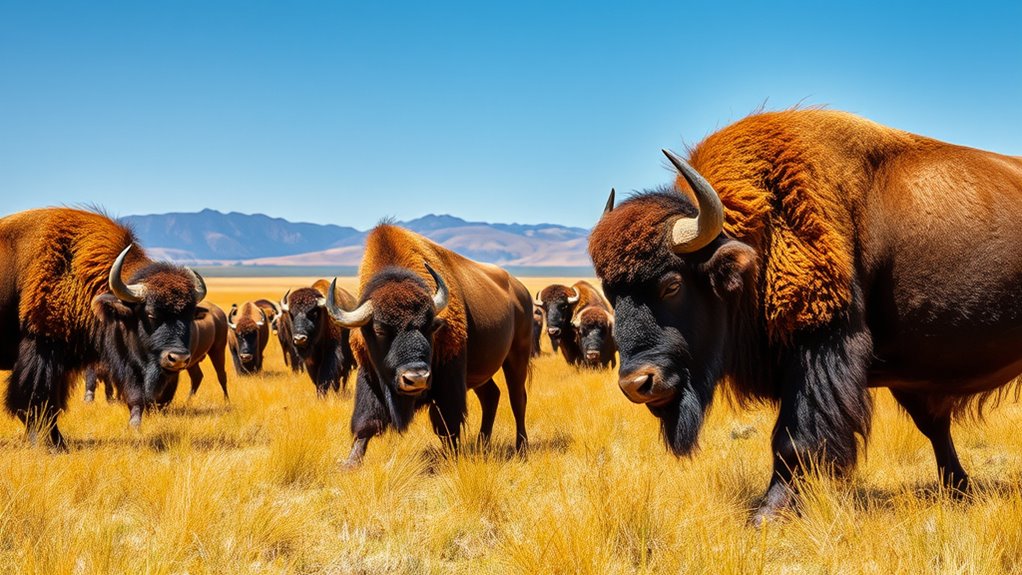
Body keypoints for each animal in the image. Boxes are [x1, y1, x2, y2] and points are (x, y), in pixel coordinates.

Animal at [0, 208, 208, 447]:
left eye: (190, 316)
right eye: (150, 314)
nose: (178, 358)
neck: (75, 272)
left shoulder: (61, 366)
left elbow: (52, 405)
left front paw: (59, 443)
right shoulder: (41, 348)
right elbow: (35, 402)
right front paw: (49, 445)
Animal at [324, 224, 533, 465]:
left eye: (429, 326)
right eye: (379, 329)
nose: (416, 378)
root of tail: (521, 291)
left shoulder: (449, 379)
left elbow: (447, 423)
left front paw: (451, 456)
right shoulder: (369, 374)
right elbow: (365, 422)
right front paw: (350, 463)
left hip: (517, 357)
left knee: (518, 399)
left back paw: (521, 448)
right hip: (481, 373)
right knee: (491, 396)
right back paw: (482, 444)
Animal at [588, 109, 1022, 523]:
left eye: (672, 285)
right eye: (611, 293)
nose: (637, 383)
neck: (761, 236)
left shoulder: (822, 347)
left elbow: (793, 441)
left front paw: (766, 515)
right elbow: (932, 424)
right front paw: (959, 489)